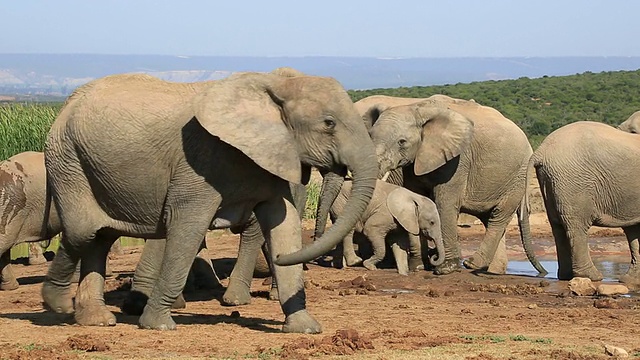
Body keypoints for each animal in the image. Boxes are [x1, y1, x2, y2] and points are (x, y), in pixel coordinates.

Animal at [41, 71, 380, 334]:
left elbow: (283, 224)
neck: (274, 85)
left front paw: (306, 328)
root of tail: (67, 103)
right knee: (83, 232)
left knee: (100, 238)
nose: (282, 258)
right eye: (329, 123)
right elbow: (187, 227)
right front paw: (158, 325)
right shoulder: (198, 162)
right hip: (67, 159)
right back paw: (57, 305)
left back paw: (96, 320)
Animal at [340, 94, 544, 274]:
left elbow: (445, 204)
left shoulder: (457, 160)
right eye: (370, 136)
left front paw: (445, 269)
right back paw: (489, 269)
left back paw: (472, 264)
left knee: (498, 217)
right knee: (489, 219)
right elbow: (415, 198)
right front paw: (418, 266)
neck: (417, 108)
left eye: (402, 142)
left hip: (518, 177)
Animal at [532, 121, 640, 284]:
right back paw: (592, 276)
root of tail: (542, 150)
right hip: (573, 181)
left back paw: (566, 276)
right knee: (576, 226)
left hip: (551, 180)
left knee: (558, 226)